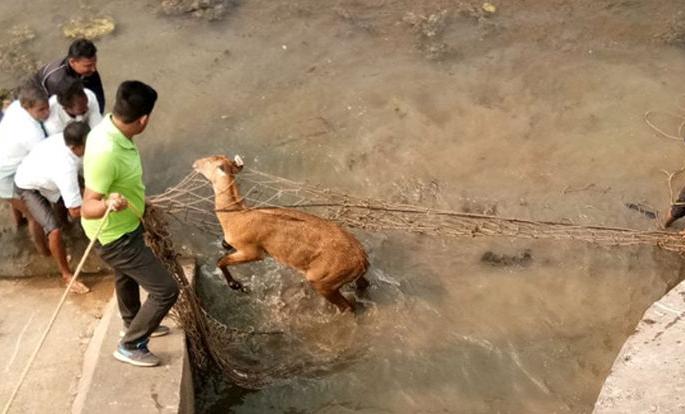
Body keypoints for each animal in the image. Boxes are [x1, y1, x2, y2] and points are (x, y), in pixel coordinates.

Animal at [192, 155, 370, 312]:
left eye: (210, 161)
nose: (195, 163)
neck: (235, 216)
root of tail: (361, 259)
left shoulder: (252, 251)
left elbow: (221, 261)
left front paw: (237, 285)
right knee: (363, 285)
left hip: (323, 281)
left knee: (347, 307)